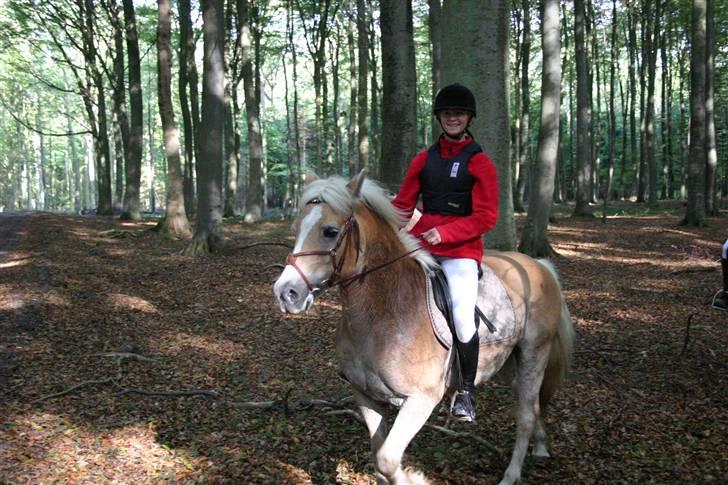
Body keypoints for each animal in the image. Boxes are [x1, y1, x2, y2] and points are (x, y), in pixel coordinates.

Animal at [272, 172, 576, 484]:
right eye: (296, 228)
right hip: (506, 363)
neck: (385, 310)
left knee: (526, 413)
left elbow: (387, 460)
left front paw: (414, 476)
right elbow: (378, 457)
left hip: (533, 354)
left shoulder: (420, 400)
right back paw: (541, 447)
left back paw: (511, 474)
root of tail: (540, 266)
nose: (286, 293)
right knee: (533, 405)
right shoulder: (366, 395)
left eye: (330, 231)